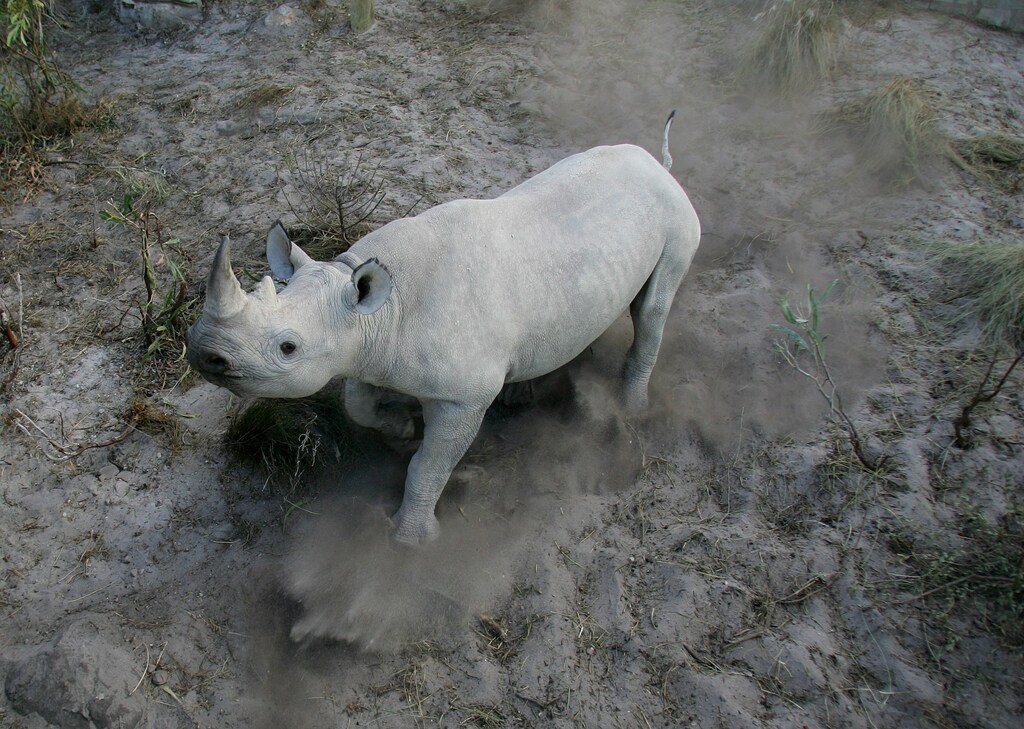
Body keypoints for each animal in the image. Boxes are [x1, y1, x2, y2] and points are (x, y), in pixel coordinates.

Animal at [186, 115, 701, 544]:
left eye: (288, 347)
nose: (201, 351)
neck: (378, 313)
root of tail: (659, 166)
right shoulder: (365, 351)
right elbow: (357, 405)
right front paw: (400, 426)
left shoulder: (463, 396)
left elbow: (429, 466)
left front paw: (411, 540)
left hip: (676, 219)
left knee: (653, 308)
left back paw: (632, 411)